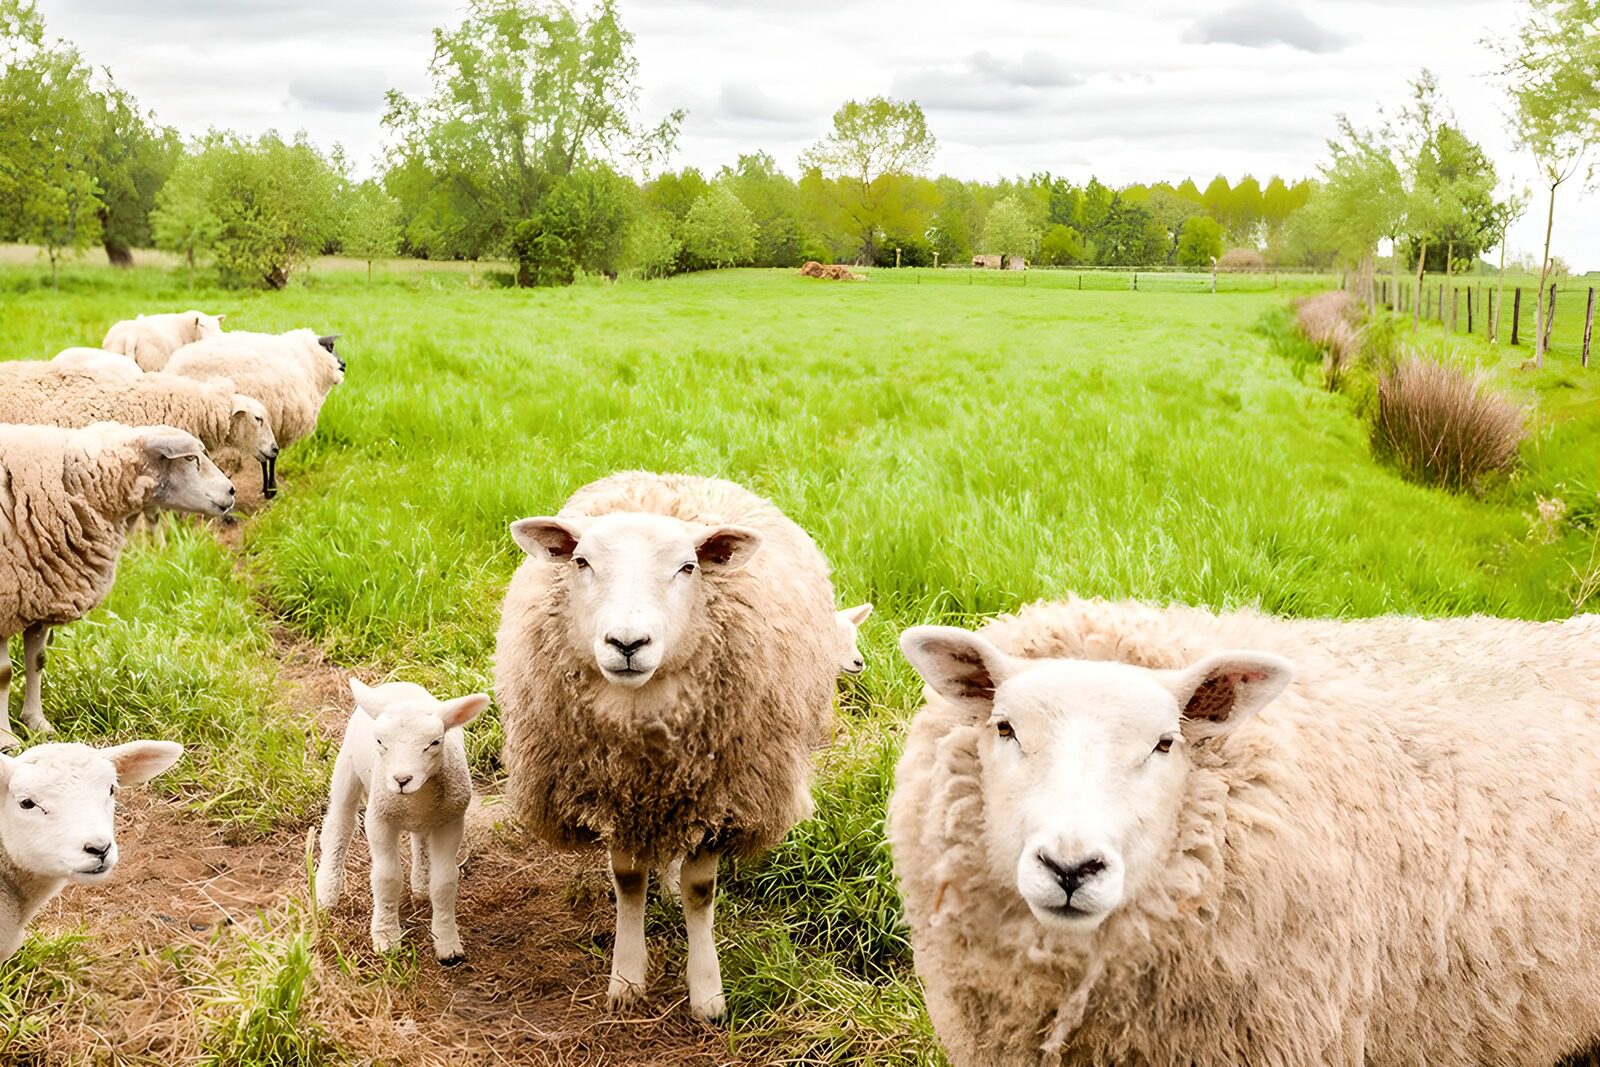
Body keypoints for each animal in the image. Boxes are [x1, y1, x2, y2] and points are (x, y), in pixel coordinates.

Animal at [0, 423, 235, 745]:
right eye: (190, 459)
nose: (232, 491)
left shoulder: (40, 595)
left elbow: (37, 661)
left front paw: (37, 723)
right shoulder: (7, 603)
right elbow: (4, 674)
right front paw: (6, 739)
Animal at [314, 679, 489, 964]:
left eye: (434, 742)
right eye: (380, 741)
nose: (401, 780)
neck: (416, 799)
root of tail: (399, 682)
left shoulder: (451, 821)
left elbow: (445, 881)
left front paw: (447, 944)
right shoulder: (379, 819)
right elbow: (387, 878)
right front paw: (386, 939)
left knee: (420, 838)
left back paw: (421, 884)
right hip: (347, 768)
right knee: (339, 825)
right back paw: (327, 893)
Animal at [496, 471, 839, 1021]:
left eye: (687, 566)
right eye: (581, 561)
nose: (627, 644)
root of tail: (666, 480)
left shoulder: (722, 802)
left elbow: (701, 892)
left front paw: (707, 995)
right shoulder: (615, 793)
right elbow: (628, 882)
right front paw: (627, 980)